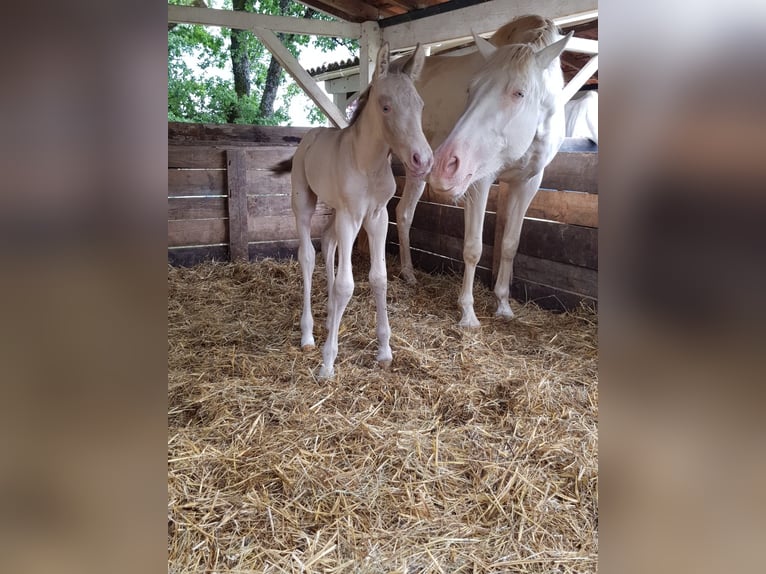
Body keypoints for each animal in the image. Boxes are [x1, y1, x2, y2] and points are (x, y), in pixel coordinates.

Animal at [274, 44, 432, 378]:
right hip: (303, 202)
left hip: (335, 210)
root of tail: (311, 136)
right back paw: (308, 334)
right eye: (385, 107)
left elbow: (379, 278)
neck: (368, 164)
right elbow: (347, 284)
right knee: (307, 255)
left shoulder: (377, 217)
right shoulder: (350, 217)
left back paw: (330, 317)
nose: (423, 160)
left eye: (420, 105)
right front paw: (327, 362)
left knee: (327, 241)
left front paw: (384, 350)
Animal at [396, 14, 568, 328]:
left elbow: (510, 244)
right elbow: (473, 248)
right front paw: (468, 313)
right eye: (470, 88)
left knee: (403, 214)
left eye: (519, 92)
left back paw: (409, 274)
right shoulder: (480, 181)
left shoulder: (528, 183)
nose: (444, 164)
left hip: (416, 170)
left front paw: (503, 305)